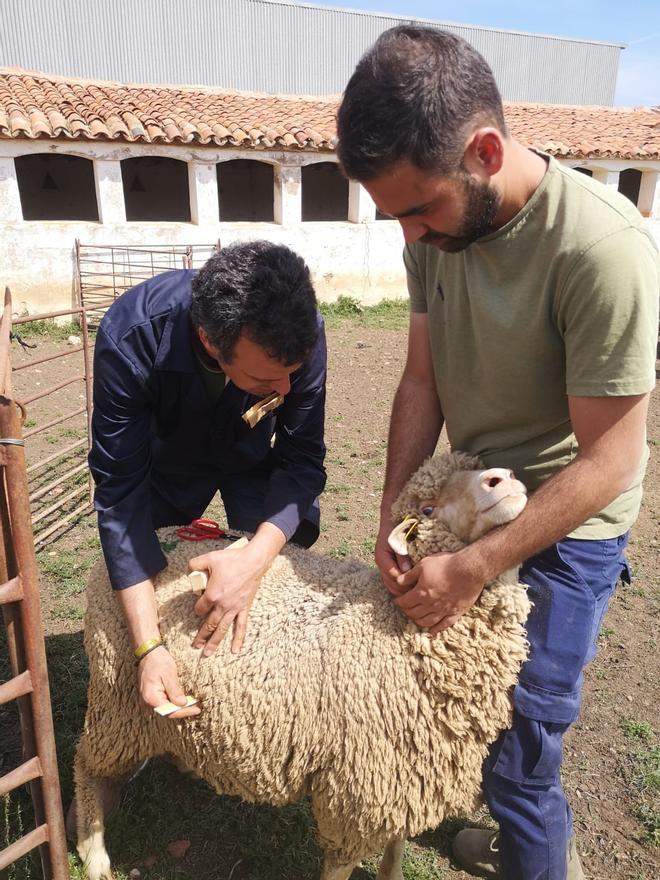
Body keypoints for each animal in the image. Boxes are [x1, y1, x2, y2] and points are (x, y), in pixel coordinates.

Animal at [75, 454, 532, 880]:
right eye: (428, 509)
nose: (503, 478)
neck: (394, 619)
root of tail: (153, 538)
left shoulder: (405, 777)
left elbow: (396, 848)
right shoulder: (354, 797)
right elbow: (341, 867)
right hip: (116, 698)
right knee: (86, 765)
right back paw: (94, 854)